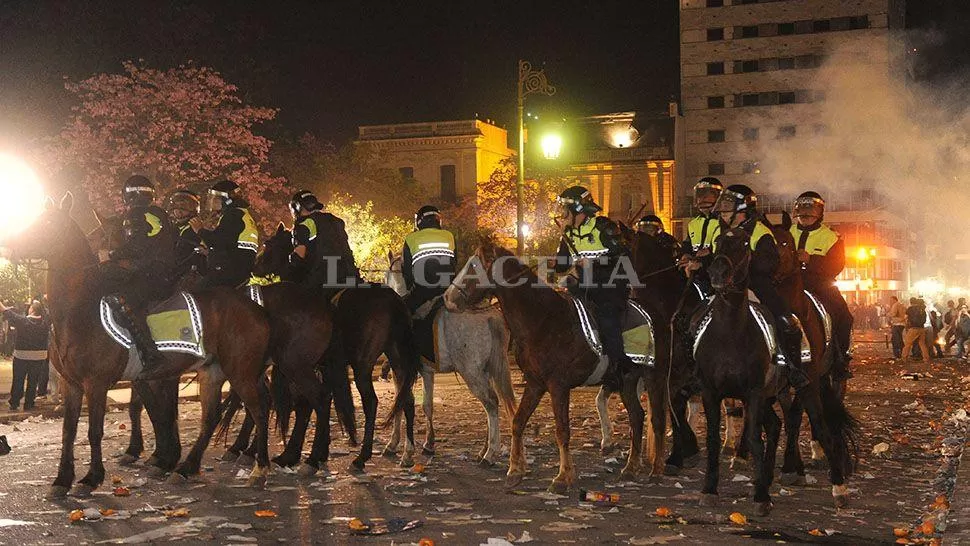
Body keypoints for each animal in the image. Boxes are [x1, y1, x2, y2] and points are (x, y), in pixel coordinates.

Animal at [1, 193, 272, 496]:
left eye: (47, 223)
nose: (9, 244)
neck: (79, 312)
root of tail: (256, 307)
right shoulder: (72, 384)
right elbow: (69, 431)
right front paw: (62, 480)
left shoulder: (97, 383)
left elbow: (96, 430)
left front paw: (91, 478)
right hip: (212, 371)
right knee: (211, 418)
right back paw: (186, 468)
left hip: (241, 372)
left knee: (260, 411)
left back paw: (258, 467)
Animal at [382, 255, 516, 464]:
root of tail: (490, 316)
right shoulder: (427, 372)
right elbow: (427, 405)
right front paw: (429, 444)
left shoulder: (400, 371)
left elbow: (400, 403)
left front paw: (397, 446)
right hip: (488, 370)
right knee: (491, 403)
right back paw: (484, 449)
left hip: (471, 373)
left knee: (491, 402)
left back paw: (490, 453)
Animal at [446, 240, 652, 490]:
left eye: (473, 267)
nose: (447, 297)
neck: (542, 320)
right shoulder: (535, 384)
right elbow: (518, 421)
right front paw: (515, 470)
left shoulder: (558, 386)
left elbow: (562, 430)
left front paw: (563, 476)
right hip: (626, 383)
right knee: (637, 415)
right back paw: (632, 466)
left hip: (632, 379)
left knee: (639, 415)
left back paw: (632, 465)